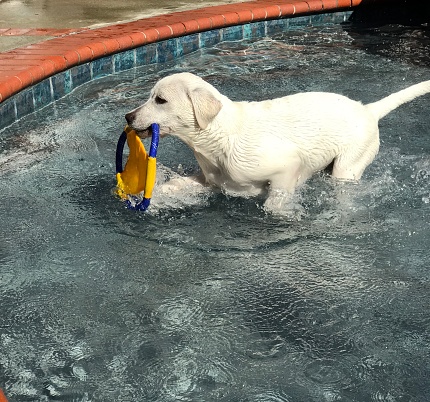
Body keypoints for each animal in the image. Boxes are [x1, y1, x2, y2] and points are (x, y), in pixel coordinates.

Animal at [125, 73, 430, 214]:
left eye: (160, 100)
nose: (128, 117)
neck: (222, 136)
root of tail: (368, 110)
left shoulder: (286, 165)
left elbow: (276, 201)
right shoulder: (213, 179)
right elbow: (180, 184)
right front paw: (157, 194)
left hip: (349, 166)